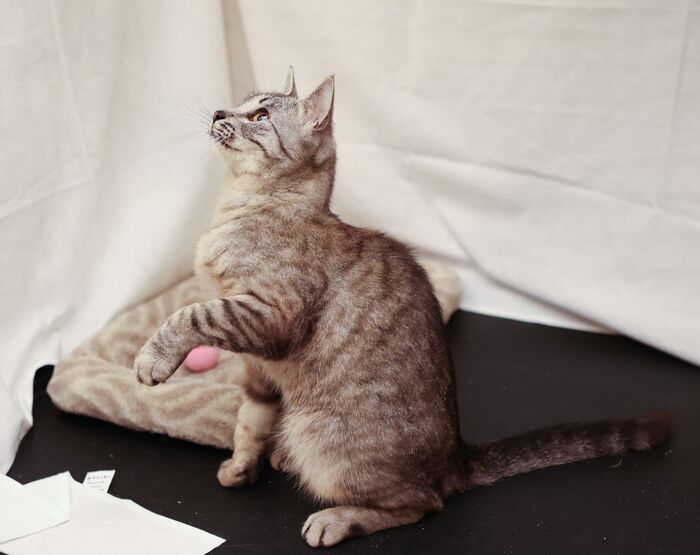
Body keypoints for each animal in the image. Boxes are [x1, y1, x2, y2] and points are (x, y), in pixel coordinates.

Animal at [134, 67, 671, 547]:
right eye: (241, 102)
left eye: (260, 115)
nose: (219, 112)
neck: (239, 208)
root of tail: (455, 458)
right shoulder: (258, 369)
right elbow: (250, 419)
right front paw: (242, 465)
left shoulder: (268, 315)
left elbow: (189, 315)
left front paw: (152, 360)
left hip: (322, 436)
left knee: (421, 503)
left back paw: (337, 519)